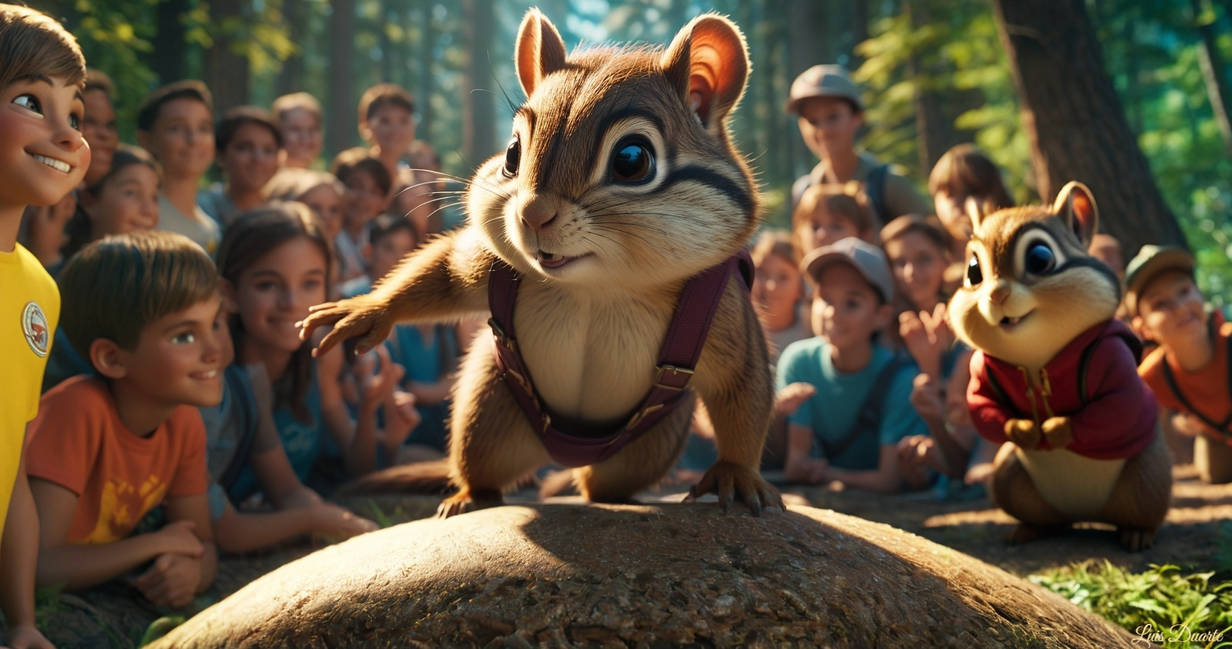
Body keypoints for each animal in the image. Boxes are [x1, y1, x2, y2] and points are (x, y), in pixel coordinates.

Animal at [299, 10, 782, 518]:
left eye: (632, 159)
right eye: (512, 153)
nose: (532, 214)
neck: (598, 285)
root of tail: (560, 456)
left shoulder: (722, 304)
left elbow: (741, 387)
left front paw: (737, 474)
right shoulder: (491, 264)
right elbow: (445, 271)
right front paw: (367, 310)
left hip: (645, 448)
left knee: (602, 484)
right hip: (487, 413)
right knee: (482, 467)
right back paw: (472, 495)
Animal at [948, 181, 1171, 551]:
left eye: (1040, 258)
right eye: (973, 271)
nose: (996, 296)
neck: (1036, 358)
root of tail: (1086, 512)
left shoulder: (1111, 359)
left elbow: (1116, 408)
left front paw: (1054, 429)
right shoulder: (981, 373)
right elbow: (983, 409)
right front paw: (1026, 429)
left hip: (1147, 478)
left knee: (1142, 513)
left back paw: (1137, 534)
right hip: (1008, 477)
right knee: (1049, 520)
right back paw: (1029, 529)